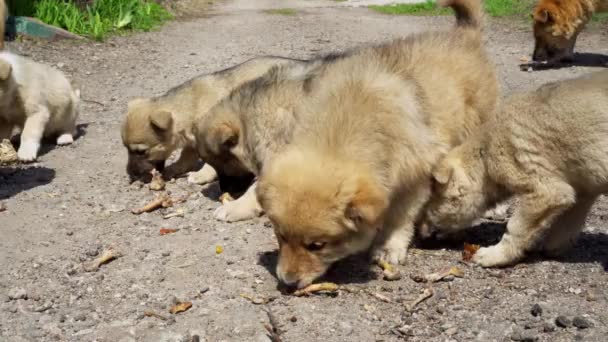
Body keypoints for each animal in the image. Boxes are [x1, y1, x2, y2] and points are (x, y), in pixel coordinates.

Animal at [121, 56, 306, 183]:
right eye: (126, 149)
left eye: (141, 152)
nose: (130, 174)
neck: (191, 108)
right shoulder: (192, 142)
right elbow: (185, 157)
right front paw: (176, 168)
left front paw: (202, 175)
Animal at [254, 0, 496, 288]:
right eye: (280, 236)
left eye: (317, 245)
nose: (288, 282)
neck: (344, 124)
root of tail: (465, 33)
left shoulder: (414, 177)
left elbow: (399, 217)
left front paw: (389, 247)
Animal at [420, 69, 608, 268]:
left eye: (426, 205)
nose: (420, 237)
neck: (485, 152)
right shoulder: (582, 187)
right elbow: (570, 219)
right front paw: (554, 246)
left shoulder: (541, 186)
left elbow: (516, 226)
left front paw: (493, 255)